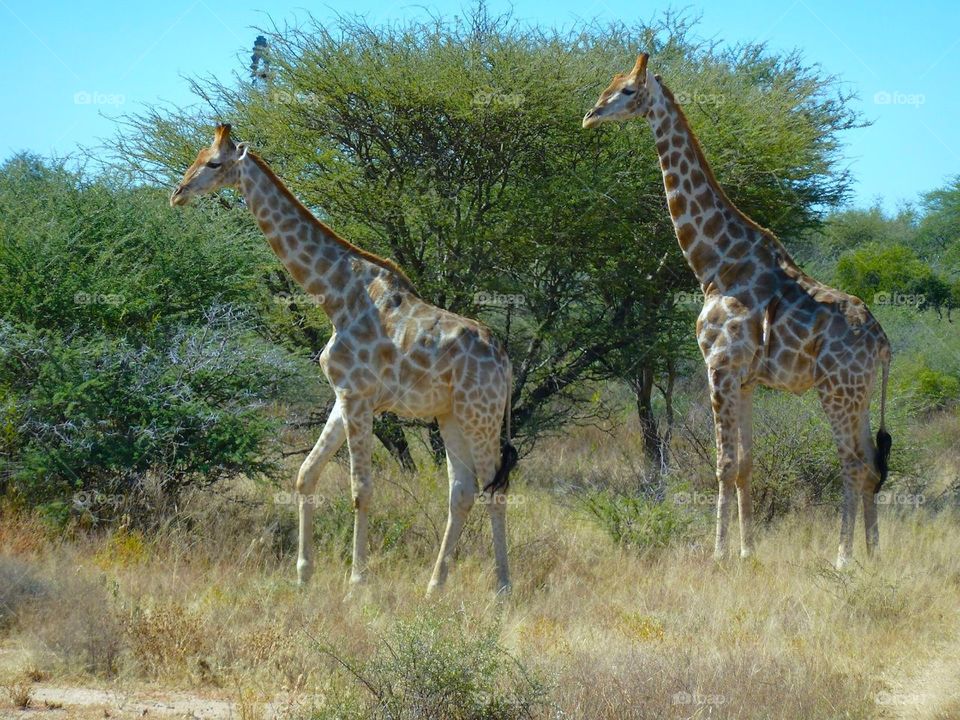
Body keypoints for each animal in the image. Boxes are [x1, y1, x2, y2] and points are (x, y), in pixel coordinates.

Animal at [171, 124, 518, 594]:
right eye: (197, 156)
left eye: (213, 163)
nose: (178, 193)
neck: (335, 296)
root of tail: (505, 360)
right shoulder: (343, 397)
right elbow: (305, 475)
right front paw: (303, 575)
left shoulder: (359, 397)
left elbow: (361, 490)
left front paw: (357, 581)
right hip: (450, 415)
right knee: (461, 491)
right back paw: (434, 587)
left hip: (480, 414)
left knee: (494, 488)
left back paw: (502, 590)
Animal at [583, 54, 892, 569]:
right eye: (609, 82)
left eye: (627, 89)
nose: (590, 115)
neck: (714, 262)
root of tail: (884, 345)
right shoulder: (745, 378)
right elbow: (746, 463)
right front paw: (747, 551)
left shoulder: (720, 365)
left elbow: (724, 464)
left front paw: (718, 553)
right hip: (862, 395)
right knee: (871, 463)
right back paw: (872, 554)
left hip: (837, 391)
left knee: (852, 464)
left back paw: (844, 559)